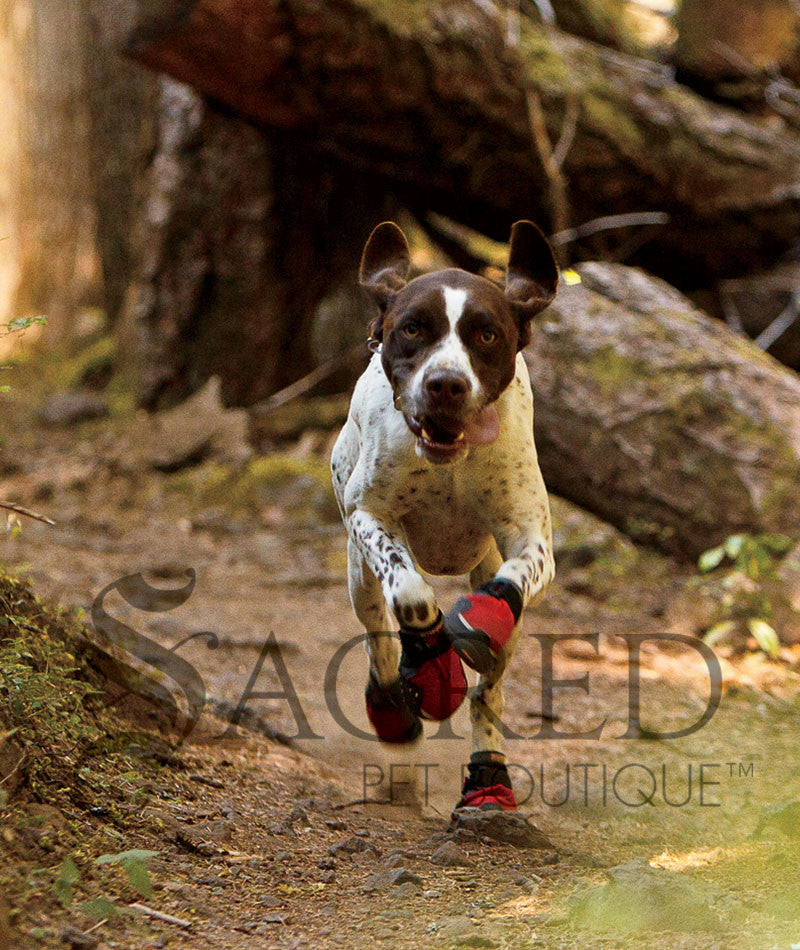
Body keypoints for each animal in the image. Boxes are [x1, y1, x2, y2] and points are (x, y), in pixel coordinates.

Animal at [330, 221, 556, 812]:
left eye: (487, 335)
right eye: (412, 329)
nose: (446, 384)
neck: (449, 460)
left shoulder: (529, 538)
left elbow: (512, 583)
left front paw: (477, 621)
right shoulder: (370, 516)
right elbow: (409, 592)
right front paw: (432, 663)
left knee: (489, 692)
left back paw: (489, 778)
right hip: (358, 576)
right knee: (379, 640)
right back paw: (394, 707)